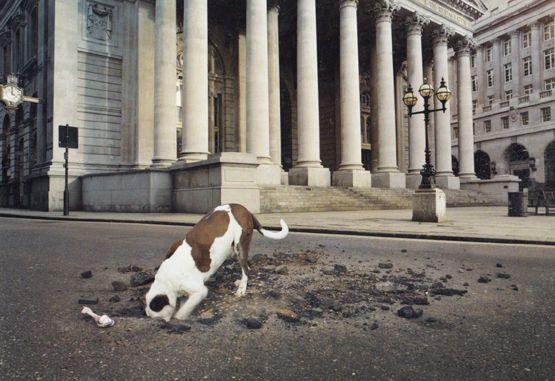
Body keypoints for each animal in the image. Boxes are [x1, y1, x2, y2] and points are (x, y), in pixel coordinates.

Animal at [146, 202, 288, 320]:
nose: (159, 322)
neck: (166, 282)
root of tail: (244, 208)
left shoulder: (199, 291)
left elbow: (182, 312)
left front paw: (179, 317)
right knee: (248, 267)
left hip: (240, 246)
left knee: (245, 269)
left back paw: (242, 289)